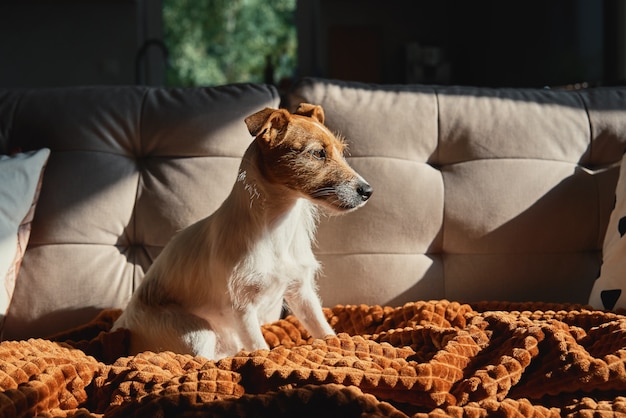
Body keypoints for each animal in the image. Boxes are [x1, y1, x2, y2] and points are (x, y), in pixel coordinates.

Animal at [112, 102, 370, 360]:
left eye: (341, 151)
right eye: (318, 153)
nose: (368, 191)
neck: (278, 226)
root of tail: (121, 326)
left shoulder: (301, 291)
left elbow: (323, 329)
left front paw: (336, 343)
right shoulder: (242, 308)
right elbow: (259, 348)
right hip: (196, 331)